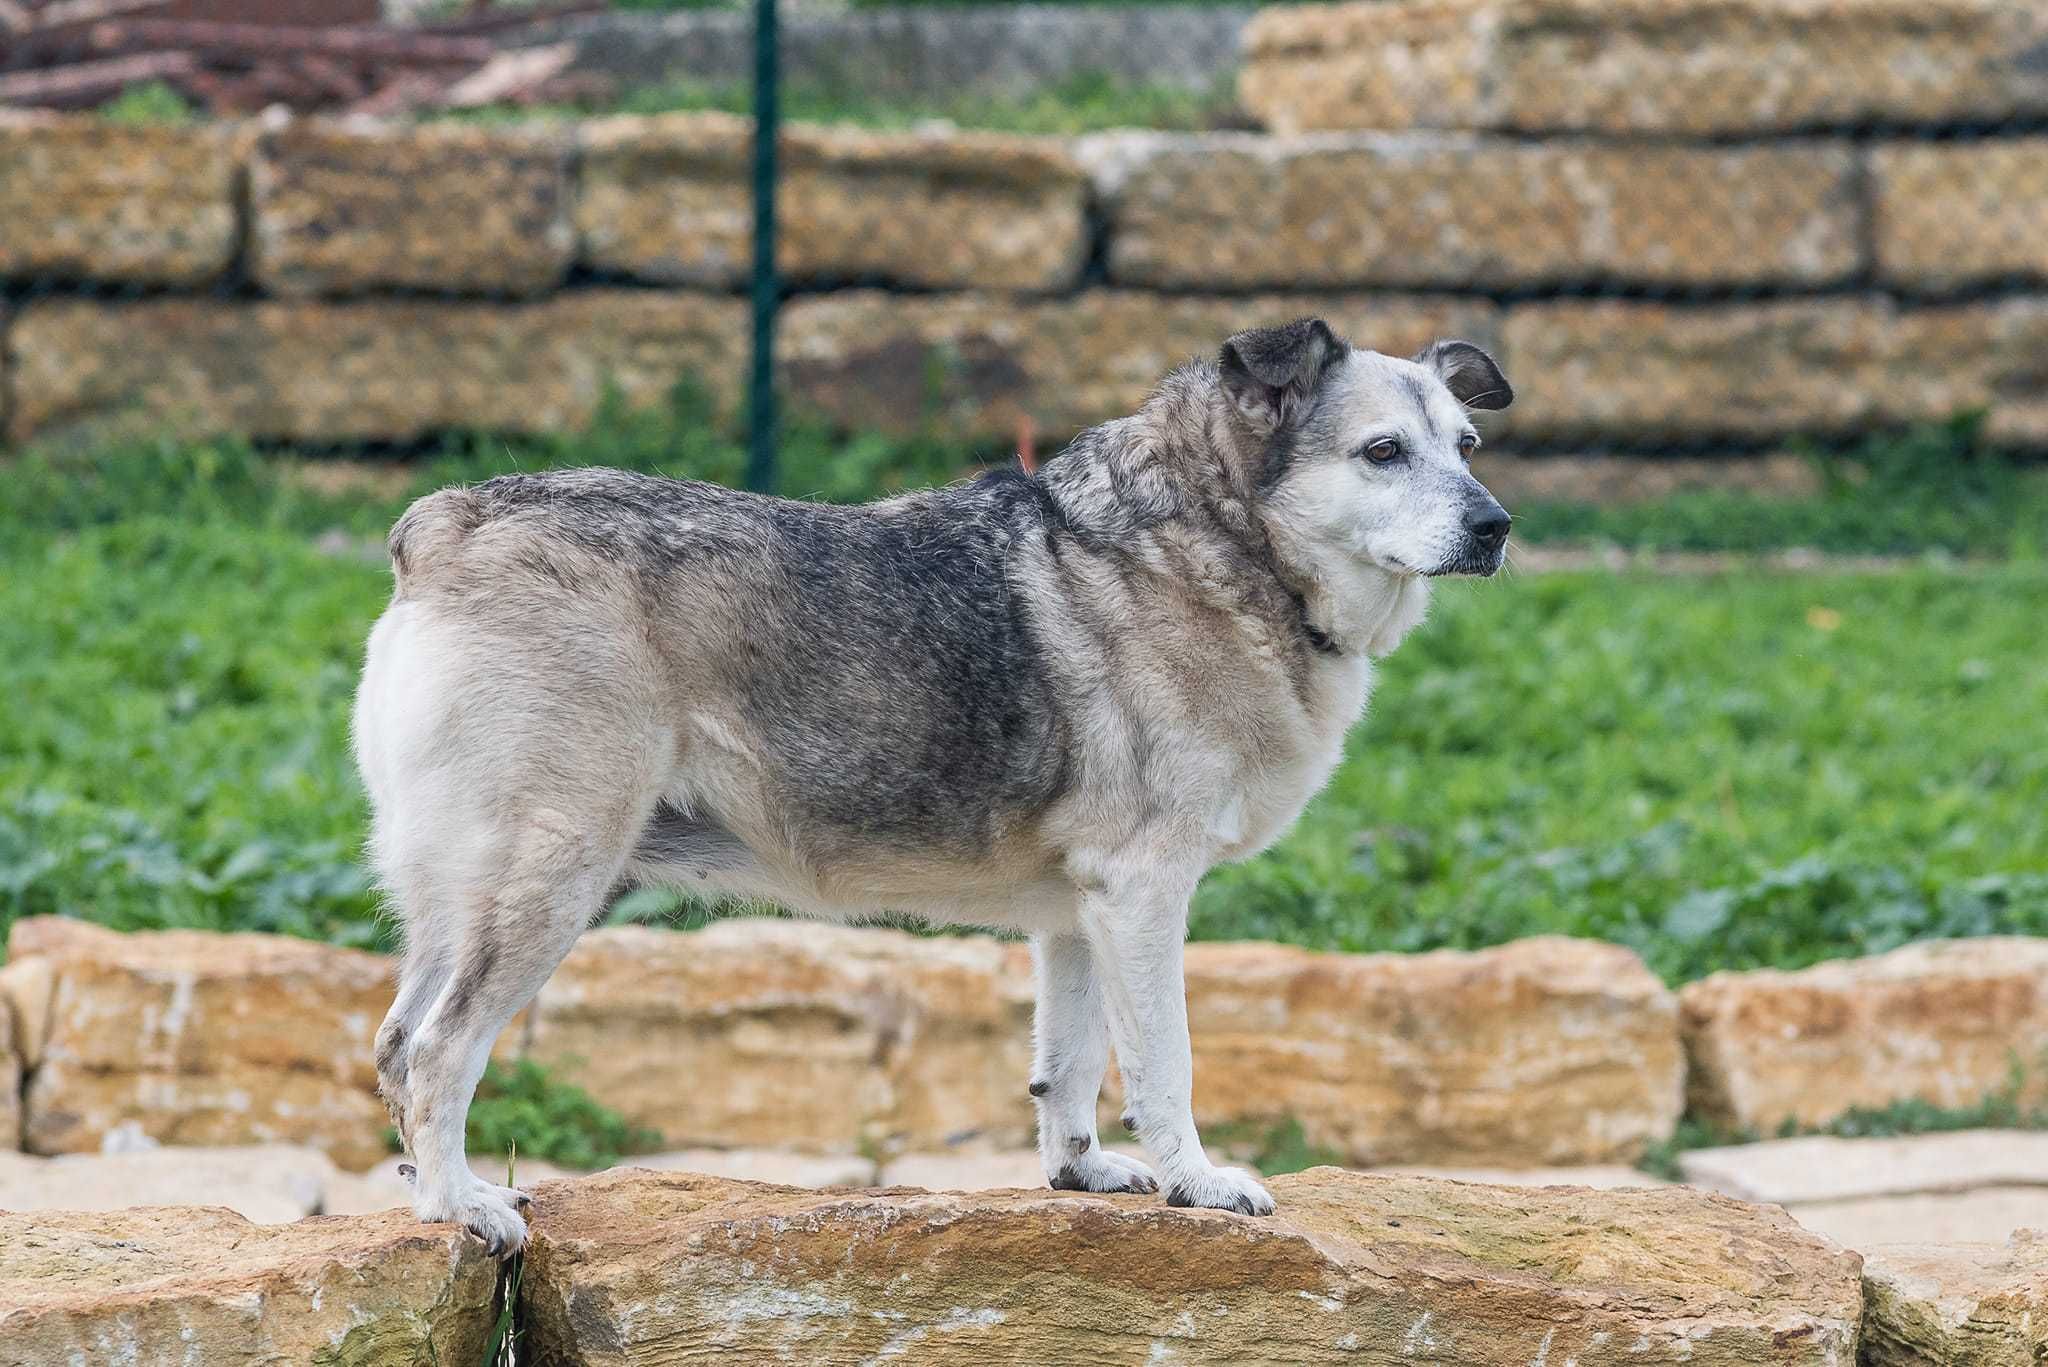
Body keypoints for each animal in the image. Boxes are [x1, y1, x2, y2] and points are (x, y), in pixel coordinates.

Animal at [348, 317, 1507, 1254]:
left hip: (467, 896)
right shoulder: (1144, 893)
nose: (1495, 526)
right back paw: (459, 1206)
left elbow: (1071, 1061)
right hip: (547, 880)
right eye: (1382, 452)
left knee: (398, 1043)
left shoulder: (1080, 914)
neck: (1220, 541)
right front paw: (1197, 1181)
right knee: (439, 1052)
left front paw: (1078, 1172)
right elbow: (1162, 1064)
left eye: (1465, 447)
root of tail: (448, 521)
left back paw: (430, 1194)